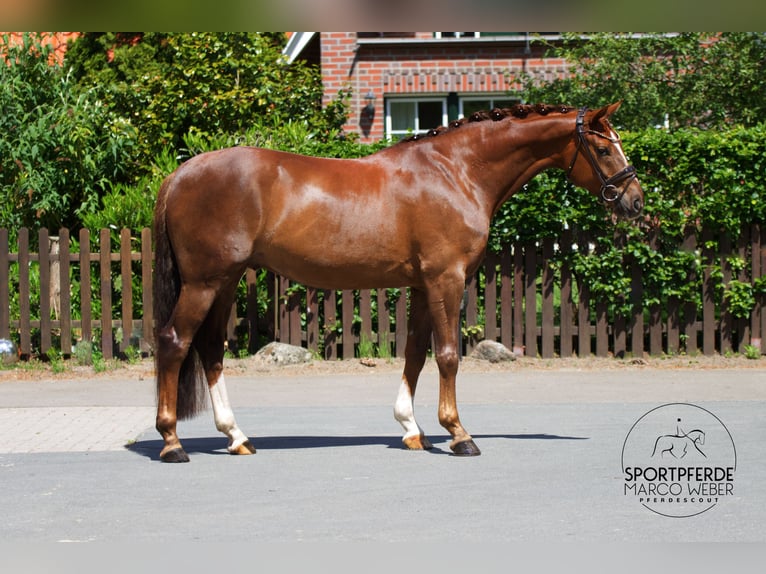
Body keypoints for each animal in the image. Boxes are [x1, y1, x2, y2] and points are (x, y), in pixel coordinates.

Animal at [152, 101, 644, 462]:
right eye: (604, 150)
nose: (635, 202)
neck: (455, 171)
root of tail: (180, 173)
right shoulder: (447, 279)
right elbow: (448, 356)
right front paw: (458, 434)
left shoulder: (424, 285)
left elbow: (414, 355)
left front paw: (411, 429)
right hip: (204, 282)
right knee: (176, 342)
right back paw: (173, 442)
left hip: (225, 281)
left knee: (210, 348)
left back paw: (236, 436)